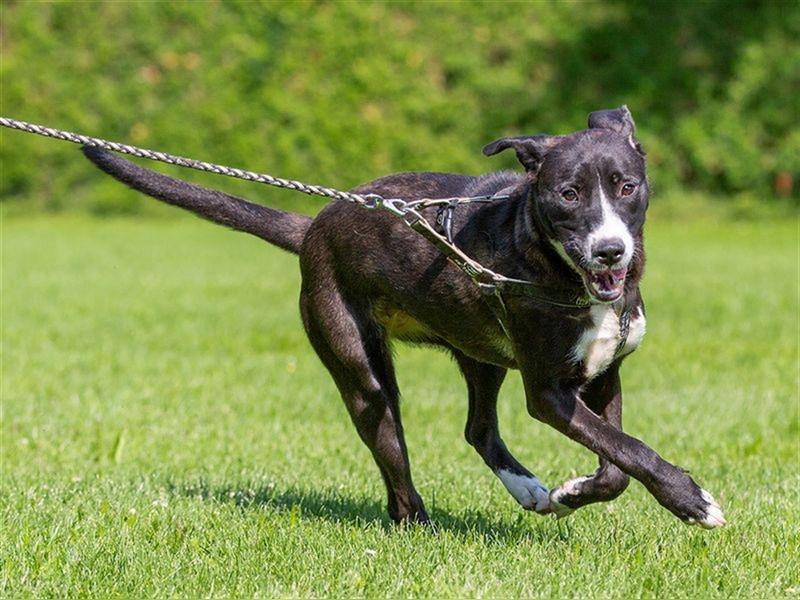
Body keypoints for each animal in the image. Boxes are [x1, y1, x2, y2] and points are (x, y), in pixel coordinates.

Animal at [84, 105, 728, 528]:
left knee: (477, 428)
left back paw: (527, 490)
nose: (610, 251)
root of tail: (316, 224)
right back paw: (419, 524)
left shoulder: (602, 373)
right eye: (567, 194)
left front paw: (574, 493)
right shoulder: (549, 393)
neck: (561, 273)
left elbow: (618, 461)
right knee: (395, 465)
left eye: (626, 186)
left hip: (480, 354)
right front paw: (694, 501)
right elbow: (630, 449)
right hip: (363, 373)